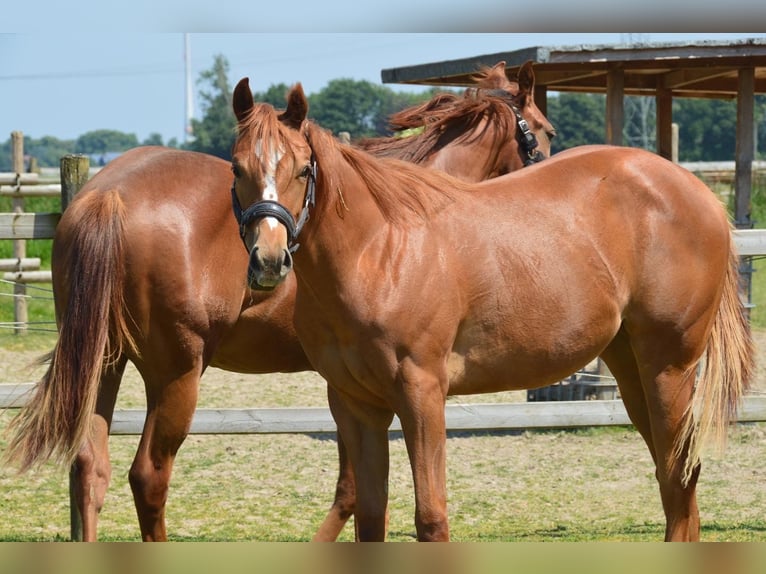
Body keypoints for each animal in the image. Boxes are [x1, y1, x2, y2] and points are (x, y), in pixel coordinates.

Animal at [4, 63, 552, 544]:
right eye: (544, 131)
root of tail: (108, 192)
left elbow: (353, 489)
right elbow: (353, 491)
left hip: (104, 362)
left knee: (88, 468)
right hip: (176, 374)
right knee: (148, 476)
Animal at [228, 82, 756, 544]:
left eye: (303, 169)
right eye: (236, 168)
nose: (269, 261)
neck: (379, 251)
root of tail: (697, 192)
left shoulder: (421, 395)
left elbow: (430, 519)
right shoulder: (355, 405)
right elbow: (370, 516)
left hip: (670, 371)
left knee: (680, 475)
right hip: (633, 373)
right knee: (674, 482)